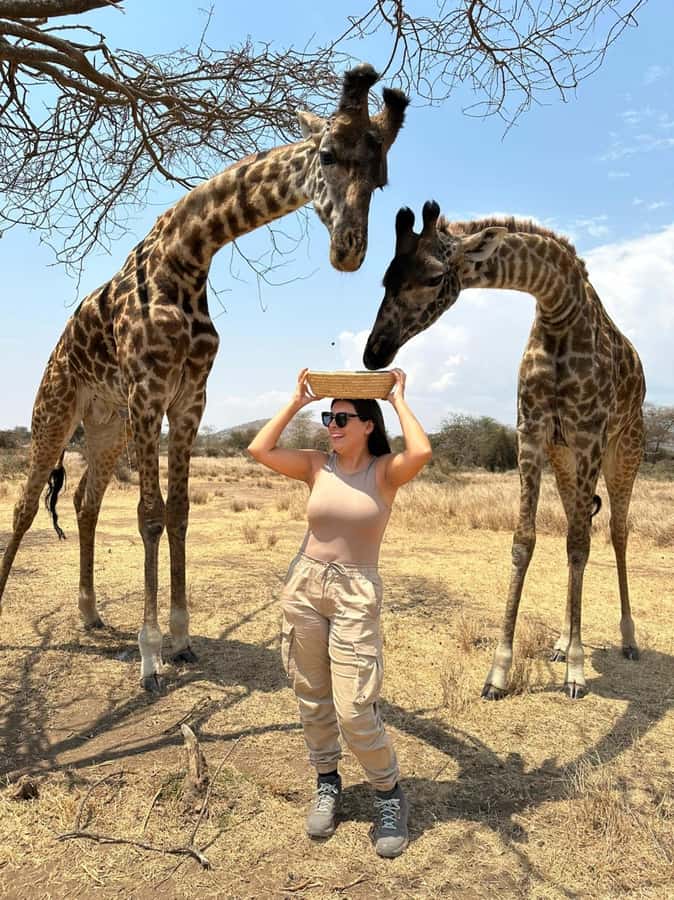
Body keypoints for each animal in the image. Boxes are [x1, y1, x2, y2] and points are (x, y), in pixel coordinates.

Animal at [0, 64, 409, 693]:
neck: (189, 256)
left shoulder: (189, 397)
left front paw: (182, 640)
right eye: (328, 154)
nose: (349, 250)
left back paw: (90, 613)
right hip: (57, 407)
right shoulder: (150, 390)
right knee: (24, 506)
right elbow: (148, 516)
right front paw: (150, 659)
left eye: (382, 177)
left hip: (108, 424)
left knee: (85, 501)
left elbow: (180, 513)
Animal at [363, 201, 646, 699]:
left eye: (433, 277)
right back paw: (561, 642)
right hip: (565, 458)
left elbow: (580, 543)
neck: (558, 307)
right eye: (386, 278)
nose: (373, 352)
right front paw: (499, 672)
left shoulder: (588, 433)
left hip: (622, 449)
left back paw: (626, 640)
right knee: (577, 524)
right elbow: (525, 541)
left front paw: (576, 673)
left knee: (615, 531)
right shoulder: (531, 433)